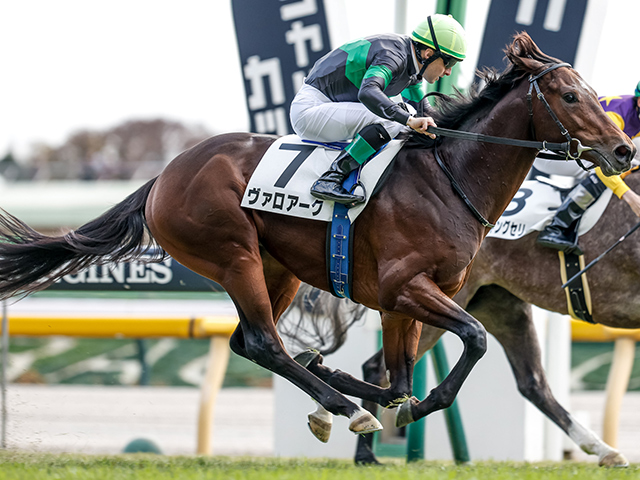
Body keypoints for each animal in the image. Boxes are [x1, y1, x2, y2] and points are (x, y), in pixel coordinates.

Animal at [349, 174, 640, 467]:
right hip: (432, 300)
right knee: (377, 367)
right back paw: (366, 451)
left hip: (502, 307)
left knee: (534, 383)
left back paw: (604, 450)